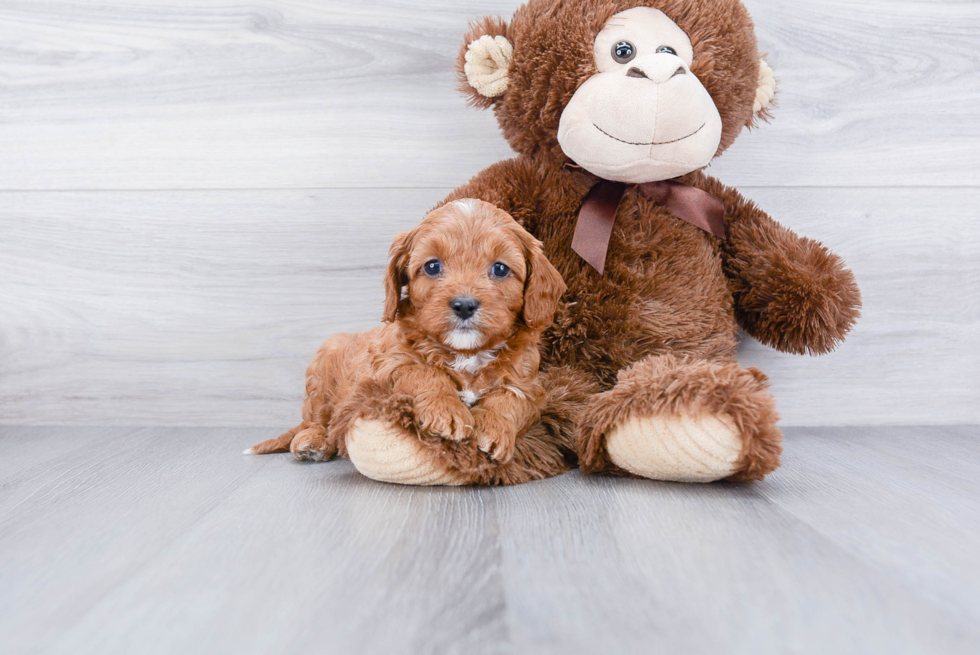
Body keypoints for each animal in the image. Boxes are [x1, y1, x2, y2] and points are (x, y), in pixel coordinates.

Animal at [247, 200, 568, 466]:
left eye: (500, 269)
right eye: (433, 266)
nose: (464, 305)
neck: (466, 353)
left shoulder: (531, 386)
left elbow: (510, 398)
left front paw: (492, 428)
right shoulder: (387, 365)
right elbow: (423, 372)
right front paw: (446, 410)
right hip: (323, 363)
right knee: (315, 418)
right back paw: (312, 441)